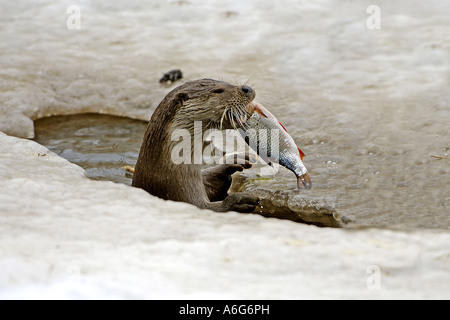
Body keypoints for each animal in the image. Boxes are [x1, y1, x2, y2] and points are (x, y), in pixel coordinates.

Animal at [133, 78, 260, 212]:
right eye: (218, 90)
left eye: (226, 83)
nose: (246, 88)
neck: (167, 176)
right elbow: (209, 208)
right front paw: (239, 201)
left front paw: (233, 160)